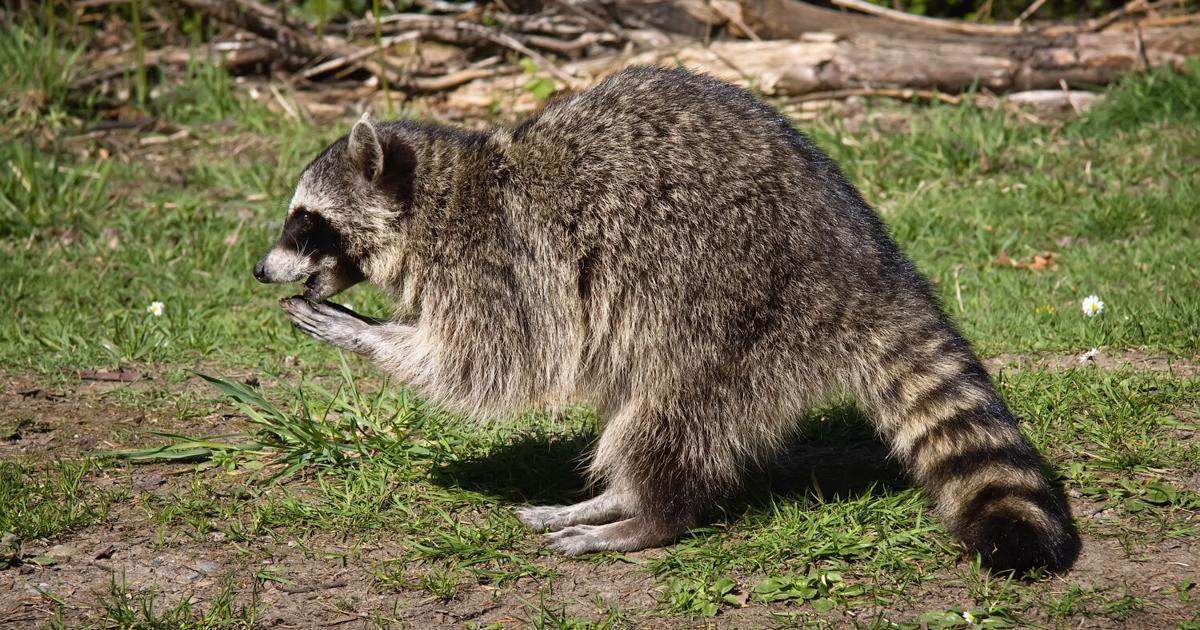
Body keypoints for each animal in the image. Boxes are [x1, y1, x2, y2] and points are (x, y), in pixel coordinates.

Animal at [253, 66, 1078, 572]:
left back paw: (642, 517)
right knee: (636, 407)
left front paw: (367, 333)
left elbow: (489, 363)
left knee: (669, 414)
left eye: (304, 222)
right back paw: (611, 495)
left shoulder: (498, 263)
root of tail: (870, 263)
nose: (259, 270)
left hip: (735, 308)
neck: (436, 196)